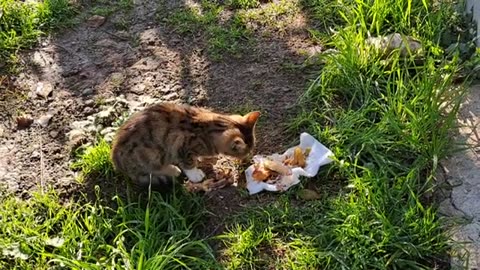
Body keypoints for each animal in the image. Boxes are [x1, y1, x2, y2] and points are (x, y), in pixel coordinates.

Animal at [110, 102, 260, 191]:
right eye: (245, 152)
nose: (249, 159)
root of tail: (117, 164)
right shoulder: (180, 145)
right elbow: (188, 162)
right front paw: (196, 174)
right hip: (150, 155)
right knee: (149, 171)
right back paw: (172, 170)